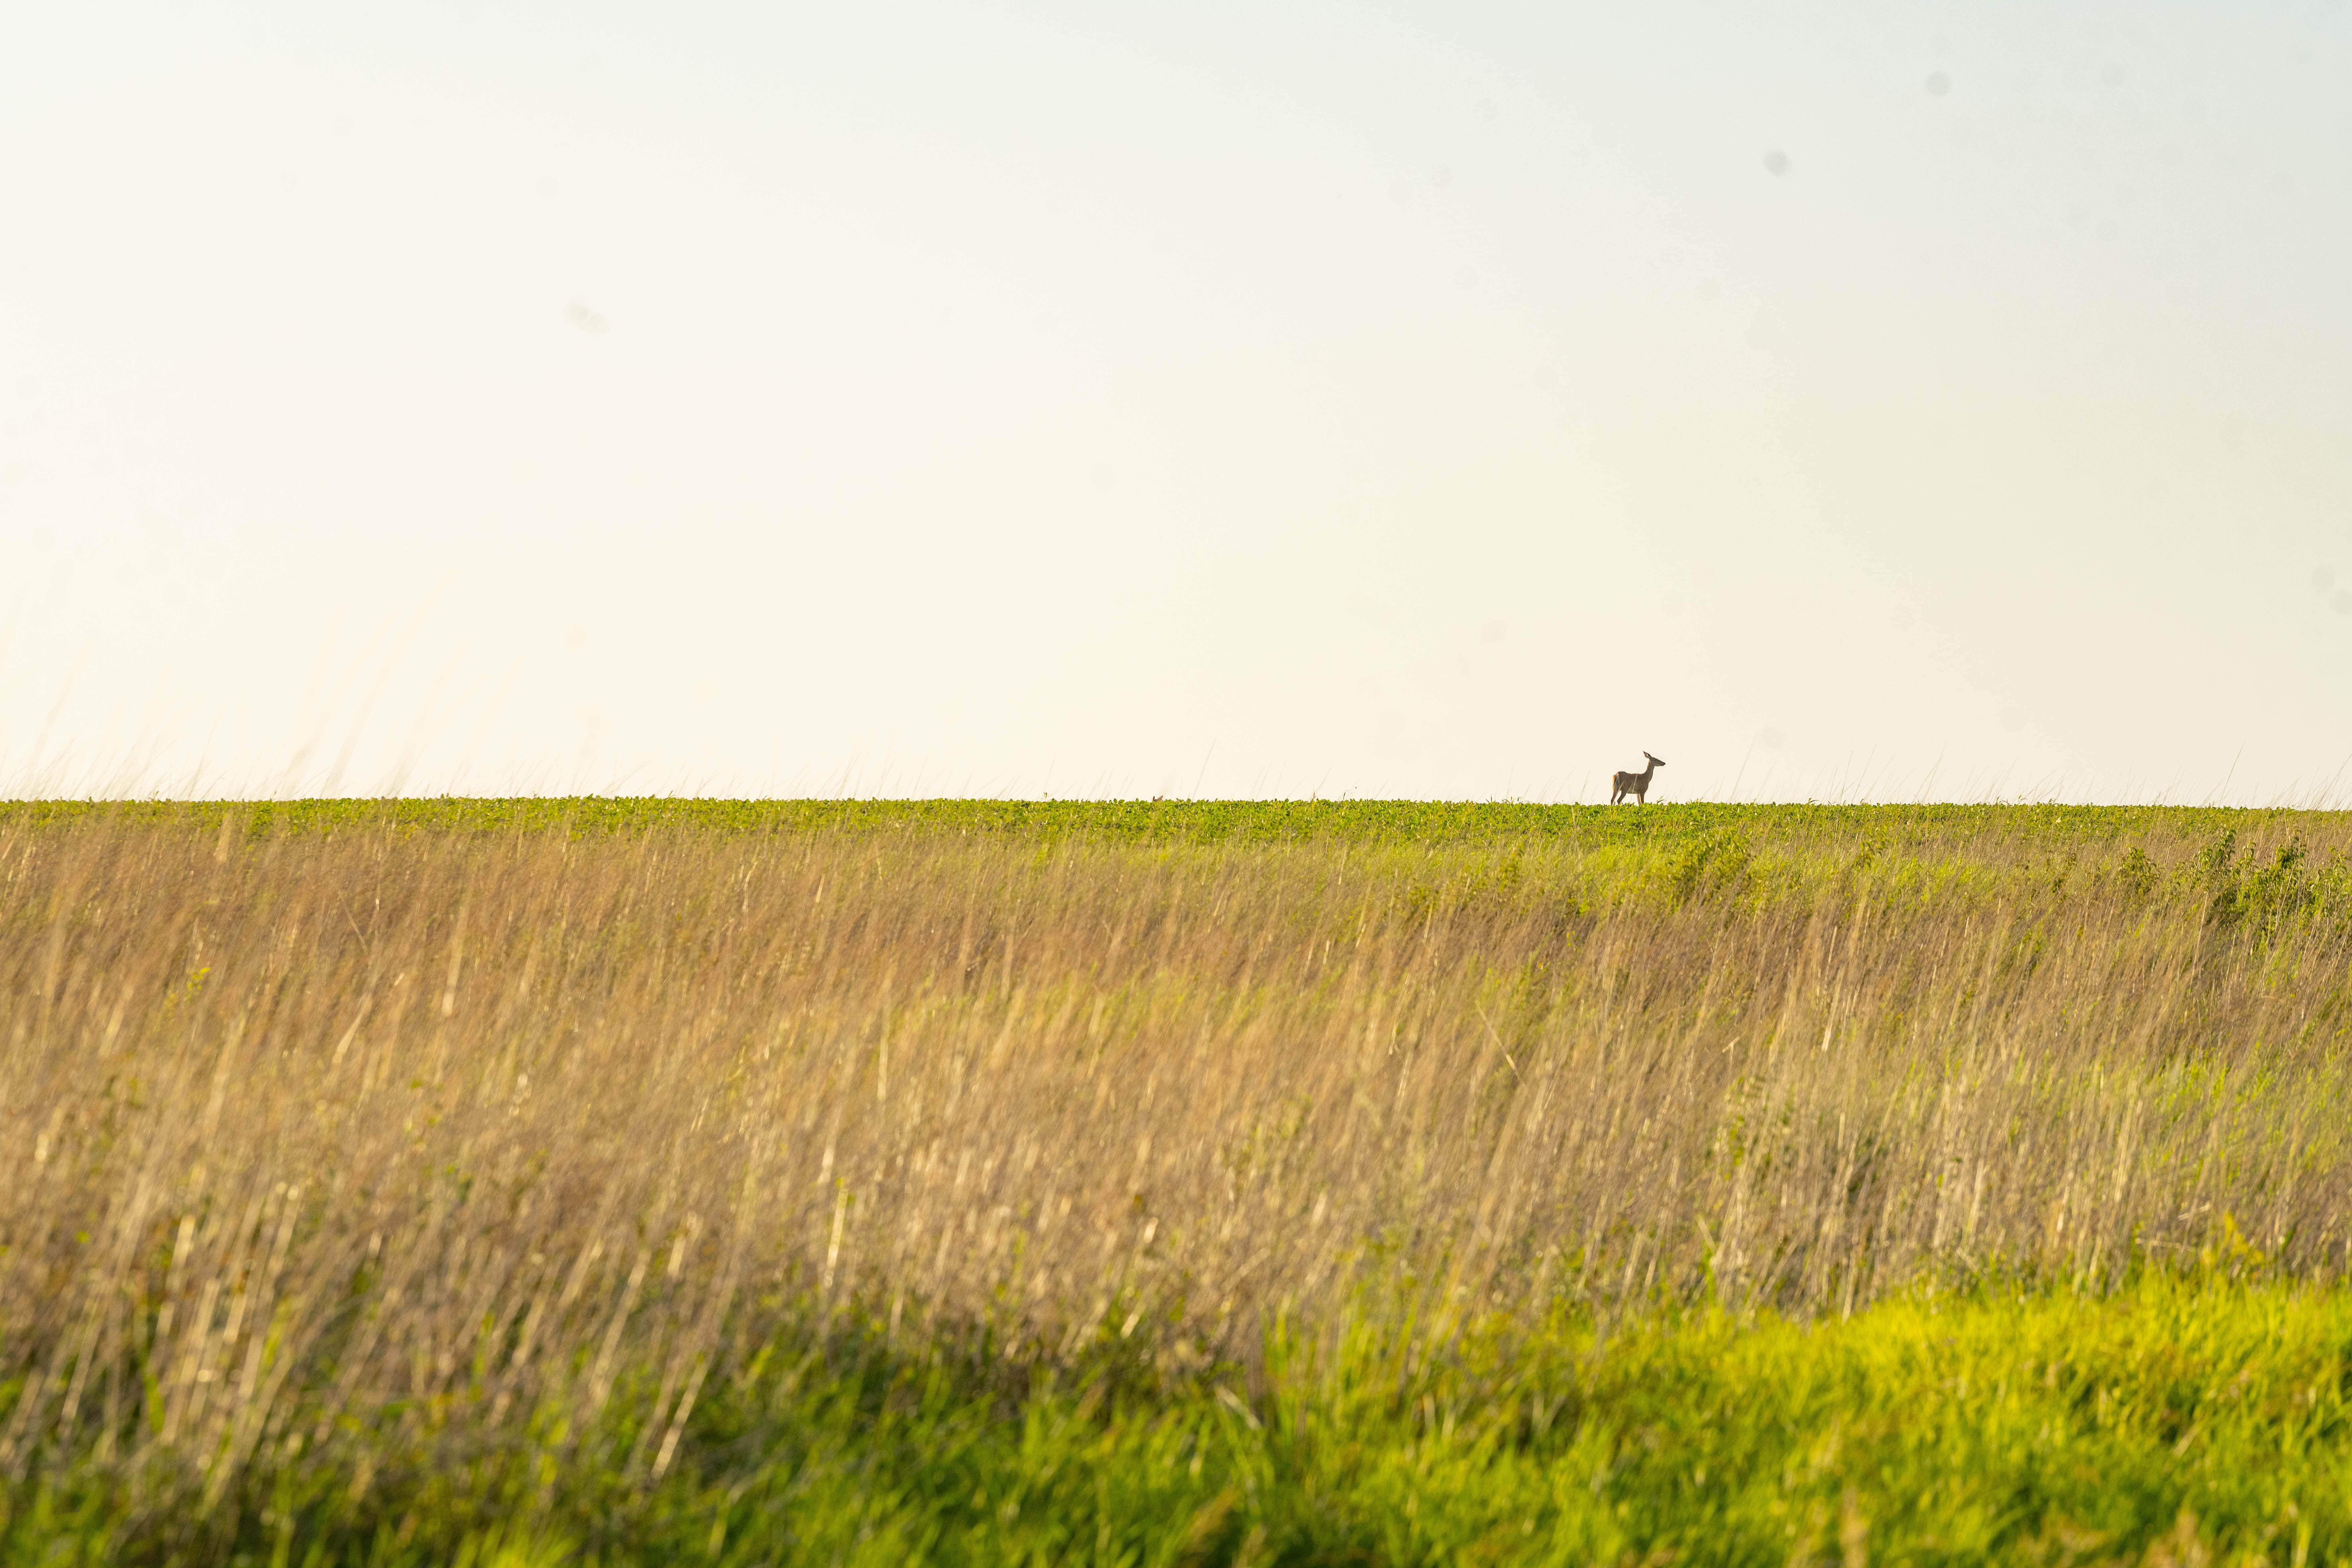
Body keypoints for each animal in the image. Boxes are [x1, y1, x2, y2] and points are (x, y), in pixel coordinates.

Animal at [1611, 752, 1664, 805]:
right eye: (1655, 760)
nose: (1664, 763)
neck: (1647, 778)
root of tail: (1617, 775)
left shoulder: (1637, 793)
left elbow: (1639, 804)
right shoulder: (1643, 791)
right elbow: (1643, 803)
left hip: (1615, 788)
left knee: (1612, 800)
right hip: (1624, 788)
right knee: (1619, 800)